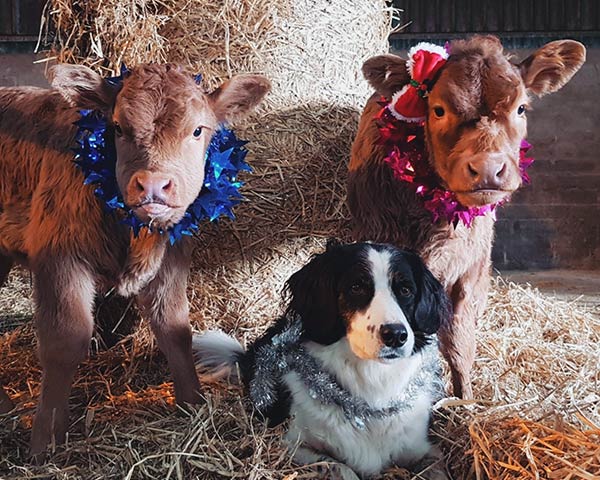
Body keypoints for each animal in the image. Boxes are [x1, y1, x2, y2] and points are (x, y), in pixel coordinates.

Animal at [195, 242, 452, 478]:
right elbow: (341, 467)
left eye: (406, 290)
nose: (396, 335)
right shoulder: (293, 444)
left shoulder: (424, 449)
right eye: (356, 287)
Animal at [350, 36, 584, 398]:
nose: (487, 168)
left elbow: (459, 341)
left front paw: (465, 399)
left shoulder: (470, 269)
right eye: (438, 109)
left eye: (521, 108)